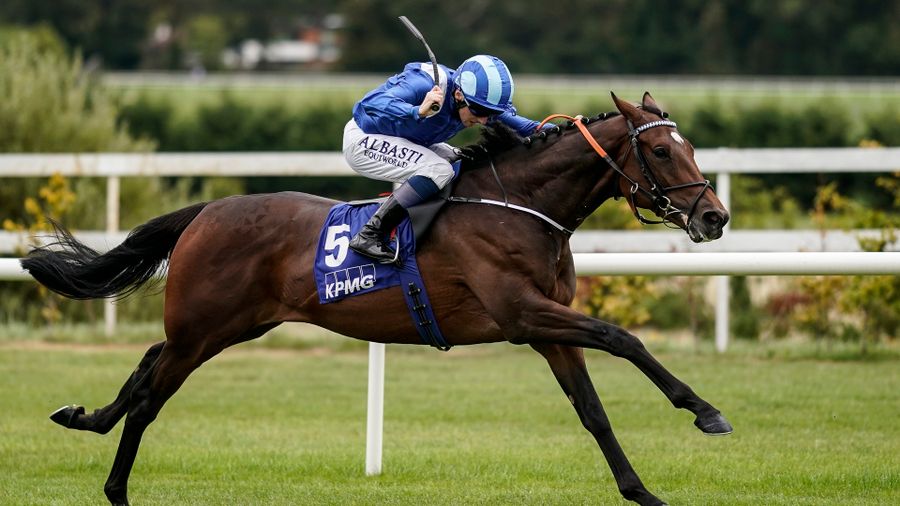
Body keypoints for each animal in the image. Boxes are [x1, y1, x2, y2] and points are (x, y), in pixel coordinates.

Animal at [23, 92, 732, 506]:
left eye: (693, 147)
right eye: (661, 149)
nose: (715, 217)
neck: (520, 207)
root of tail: (207, 210)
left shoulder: (547, 330)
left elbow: (593, 412)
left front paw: (642, 491)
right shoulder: (522, 312)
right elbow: (622, 337)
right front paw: (704, 410)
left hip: (222, 327)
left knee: (147, 363)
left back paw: (83, 417)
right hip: (204, 330)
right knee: (150, 397)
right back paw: (116, 487)